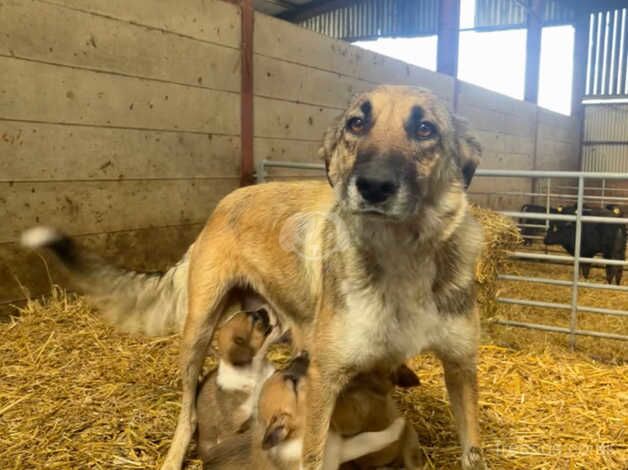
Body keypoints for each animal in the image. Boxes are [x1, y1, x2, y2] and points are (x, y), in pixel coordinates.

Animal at [202, 352, 408, 470]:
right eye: (293, 383)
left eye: (282, 369)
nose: (303, 353)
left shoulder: (341, 450)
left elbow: (371, 439)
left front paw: (399, 425)